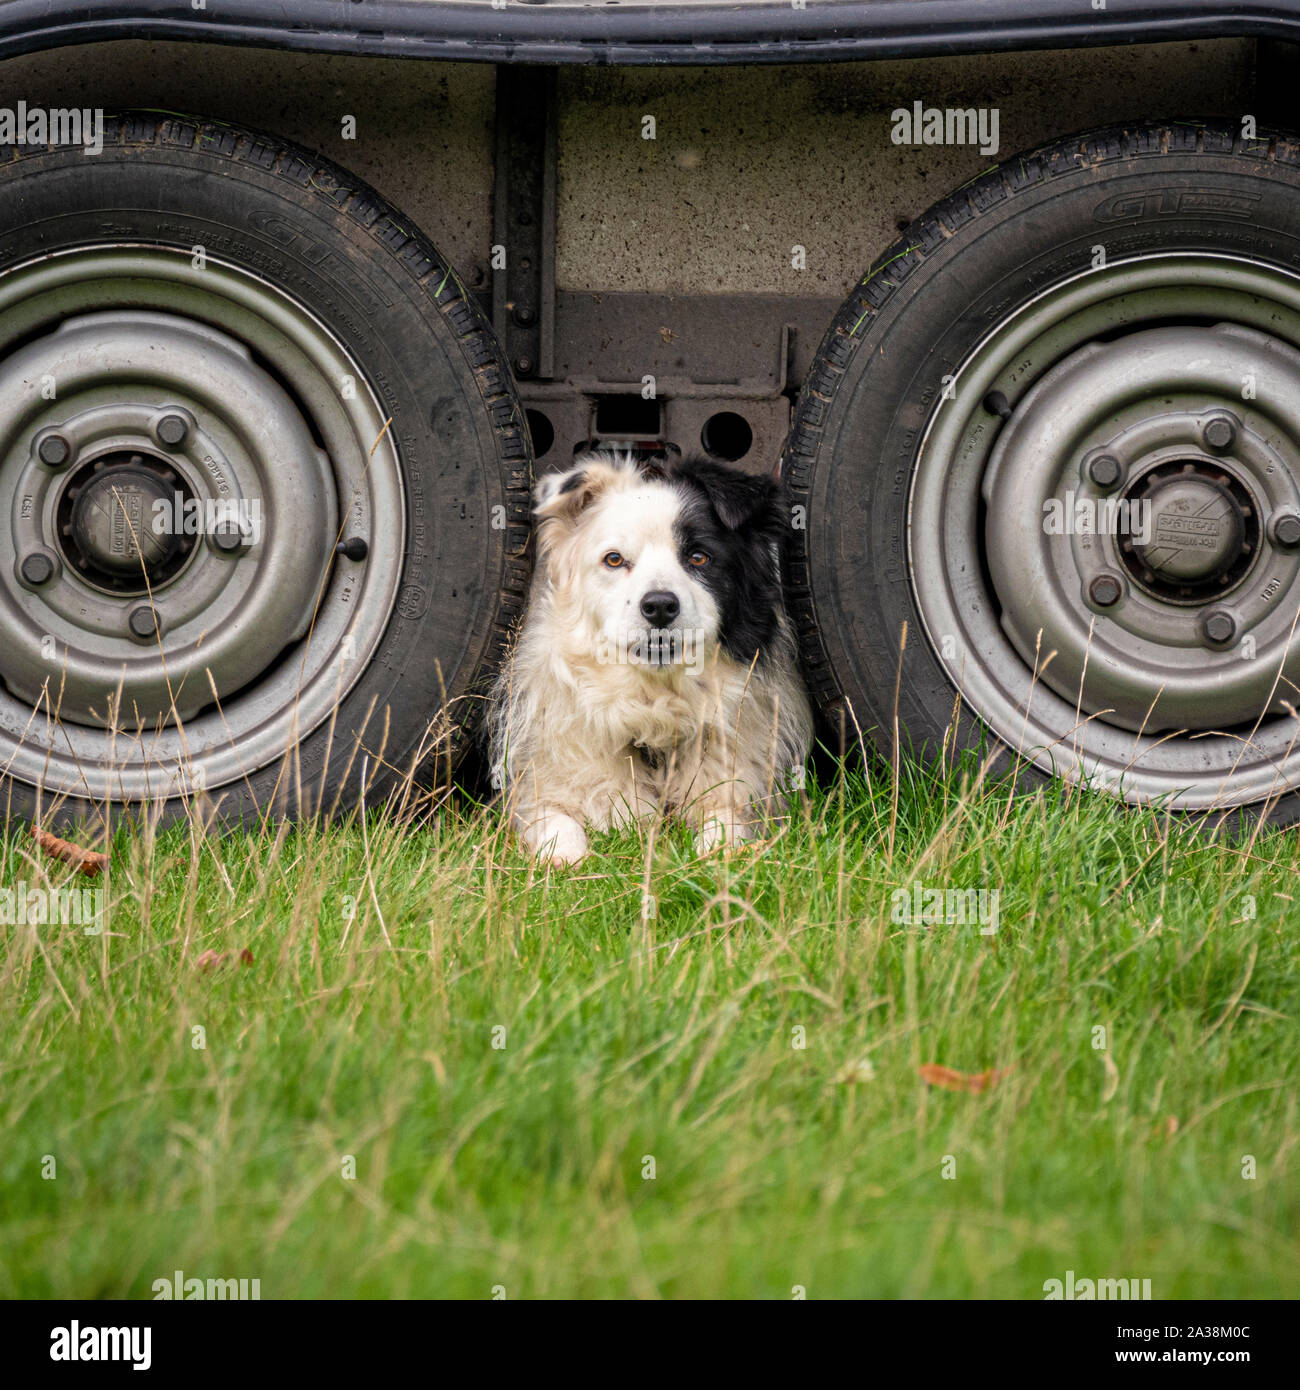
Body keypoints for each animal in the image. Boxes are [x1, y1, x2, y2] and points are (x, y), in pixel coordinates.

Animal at [489, 455, 811, 861]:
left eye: (699, 557)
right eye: (614, 560)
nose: (659, 606)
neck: (652, 708)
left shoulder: (736, 788)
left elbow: (724, 831)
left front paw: (711, 855)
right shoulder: (548, 784)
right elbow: (561, 828)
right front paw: (564, 861)